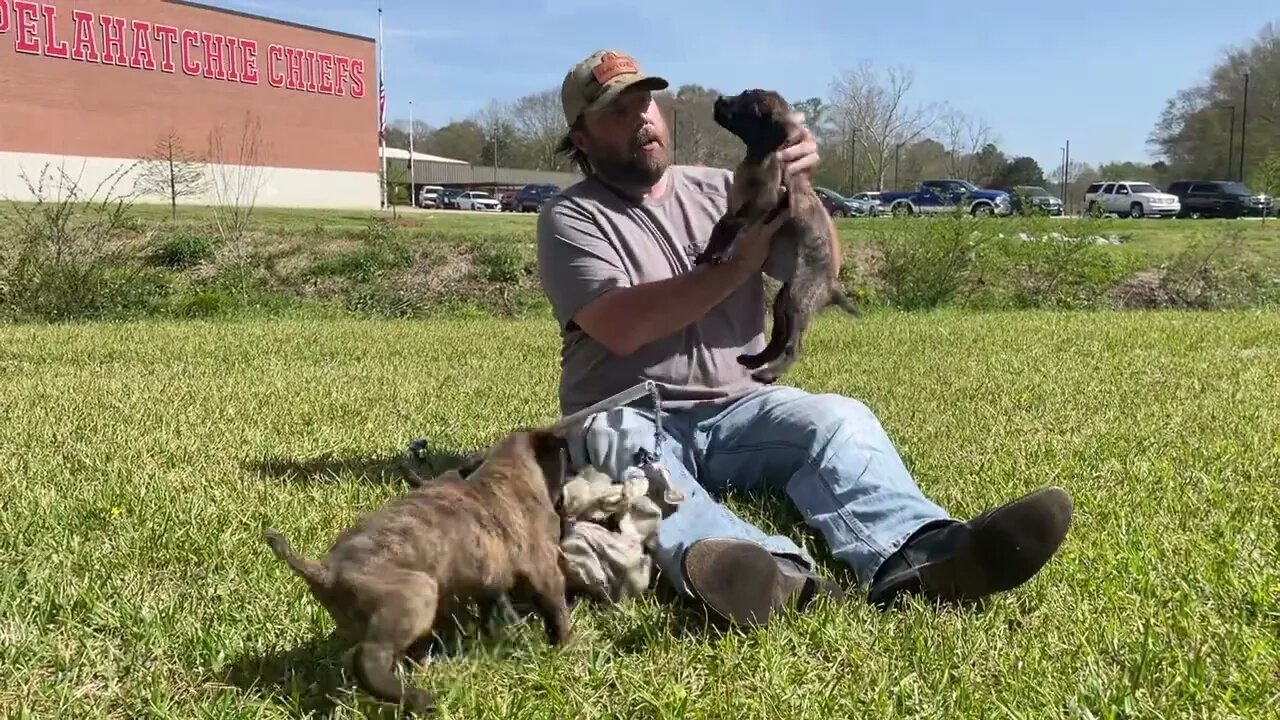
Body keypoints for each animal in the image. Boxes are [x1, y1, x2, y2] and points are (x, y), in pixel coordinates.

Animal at [262, 425, 573, 712]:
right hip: (417, 594)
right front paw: (563, 646)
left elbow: (496, 609)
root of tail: (325, 571)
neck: (508, 469)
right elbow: (557, 611)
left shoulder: (488, 581)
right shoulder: (545, 570)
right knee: (367, 658)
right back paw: (417, 698)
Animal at [691, 89, 860, 384]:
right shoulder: (732, 211)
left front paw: (723, 253)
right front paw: (708, 254)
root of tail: (831, 287)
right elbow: (719, 230)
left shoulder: (762, 208)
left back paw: (768, 373)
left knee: (793, 346)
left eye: (749, 107)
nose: (720, 99)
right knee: (778, 339)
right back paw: (754, 361)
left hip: (796, 299)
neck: (757, 158)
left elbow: (738, 230)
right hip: (784, 302)